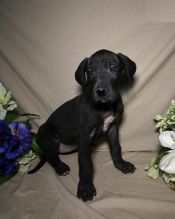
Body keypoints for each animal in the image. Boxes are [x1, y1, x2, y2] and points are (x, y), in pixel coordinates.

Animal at [29, 49, 137, 202]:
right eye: (90, 71)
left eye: (113, 68)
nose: (101, 91)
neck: (104, 107)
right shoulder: (85, 136)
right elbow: (86, 163)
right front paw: (86, 188)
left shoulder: (112, 127)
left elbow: (116, 147)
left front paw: (121, 165)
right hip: (47, 133)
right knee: (51, 155)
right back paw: (61, 168)